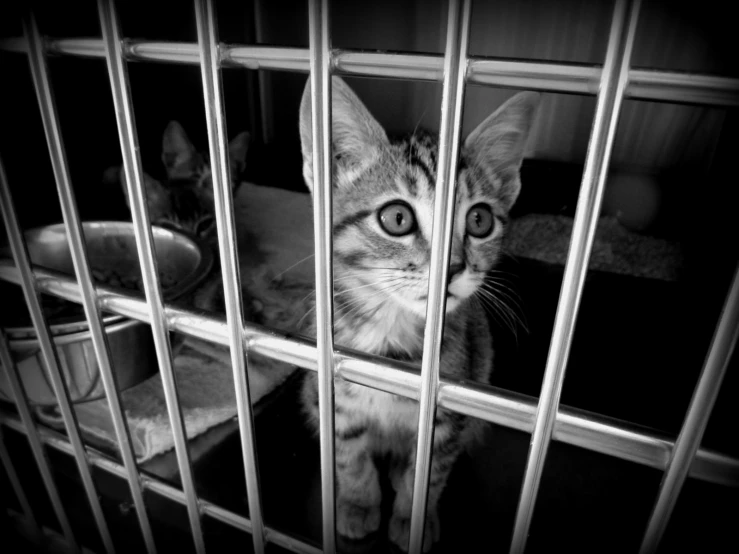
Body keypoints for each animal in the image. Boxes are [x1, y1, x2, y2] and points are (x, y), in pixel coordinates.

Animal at [300, 78, 536, 552]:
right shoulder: (332, 398)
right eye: (397, 217)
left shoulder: (450, 414)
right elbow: (349, 456)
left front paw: (413, 518)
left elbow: (429, 473)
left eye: (479, 220)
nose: (453, 266)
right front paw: (357, 505)